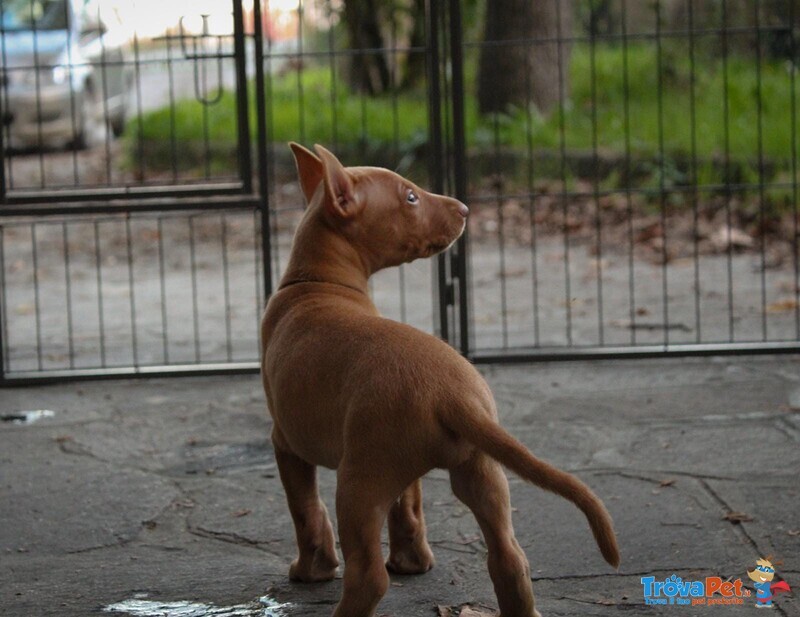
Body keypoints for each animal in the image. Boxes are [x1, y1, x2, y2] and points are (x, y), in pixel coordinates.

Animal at [260, 144, 616, 616]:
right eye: (410, 197)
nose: (465, 209)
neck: (318, 281)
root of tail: (451, 395)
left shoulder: (286, 443)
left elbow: (305, 509)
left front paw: (311, 570)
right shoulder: (403, 476)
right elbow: (409, 508)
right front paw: (412, 562)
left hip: (358, 483)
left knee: (368, 575)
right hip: (479, 470)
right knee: (509, 557)